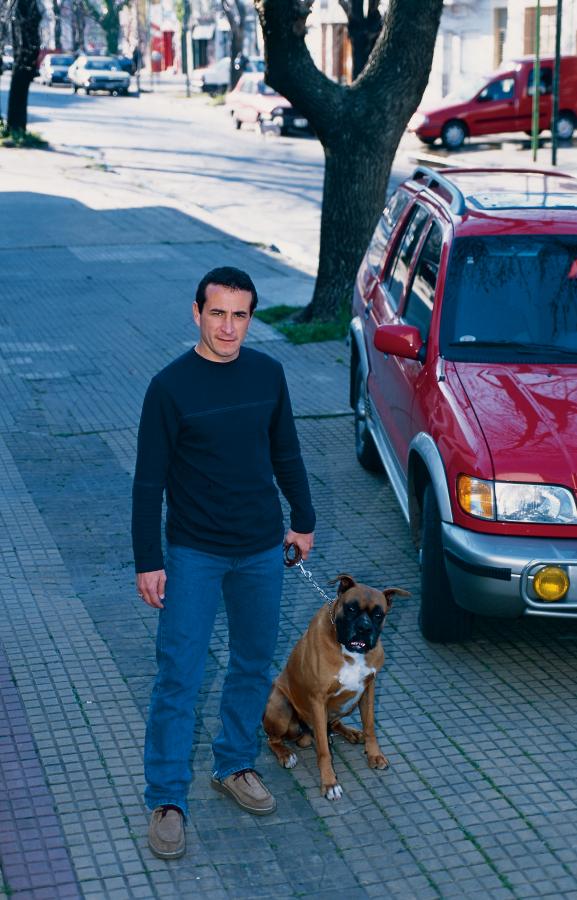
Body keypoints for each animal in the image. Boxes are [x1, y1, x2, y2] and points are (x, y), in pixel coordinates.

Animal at [264, 572, 408, 800]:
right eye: (351, 609)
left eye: (378, 614)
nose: (364, 628)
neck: (350, 652)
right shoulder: (317, 699)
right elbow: (323, 750)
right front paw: (330, 783)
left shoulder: (369, 689)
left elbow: (370, 727)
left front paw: (374, 754)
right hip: (279, 706)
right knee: (273, 739)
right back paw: (286, 754)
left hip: (349, 703)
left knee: (332, 724)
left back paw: (350, 732)